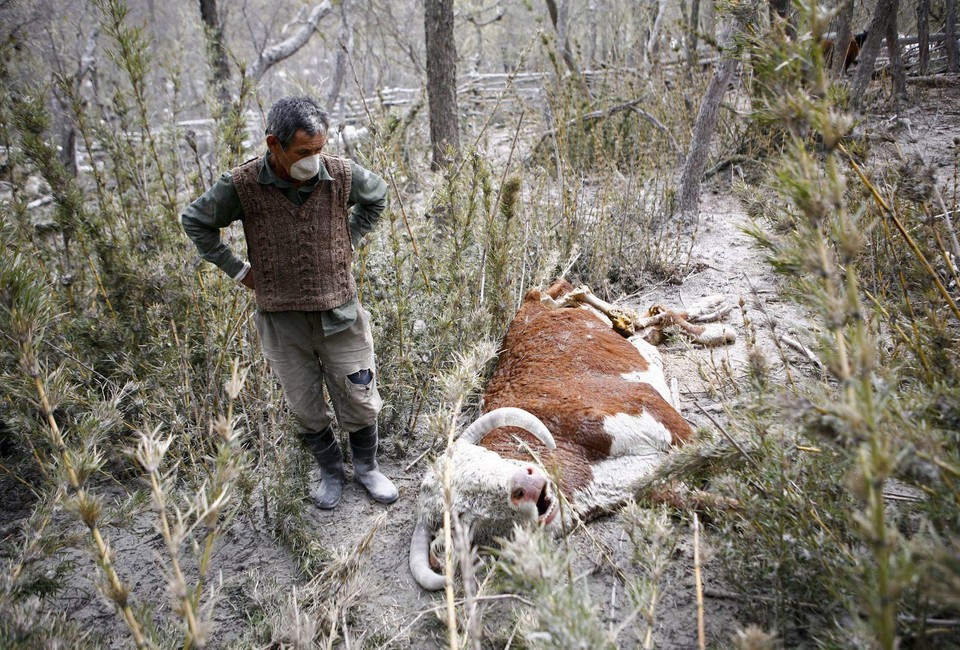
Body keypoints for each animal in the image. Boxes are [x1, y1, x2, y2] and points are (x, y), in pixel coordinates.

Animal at [406, 276, 736, 588]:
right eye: (463, 516)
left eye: (491, 458)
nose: (526, 486)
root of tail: (528, 302)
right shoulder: (649, 485)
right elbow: (716, 501)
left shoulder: (646, 405)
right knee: (646, 330)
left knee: (631, 310)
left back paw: (715, 323)